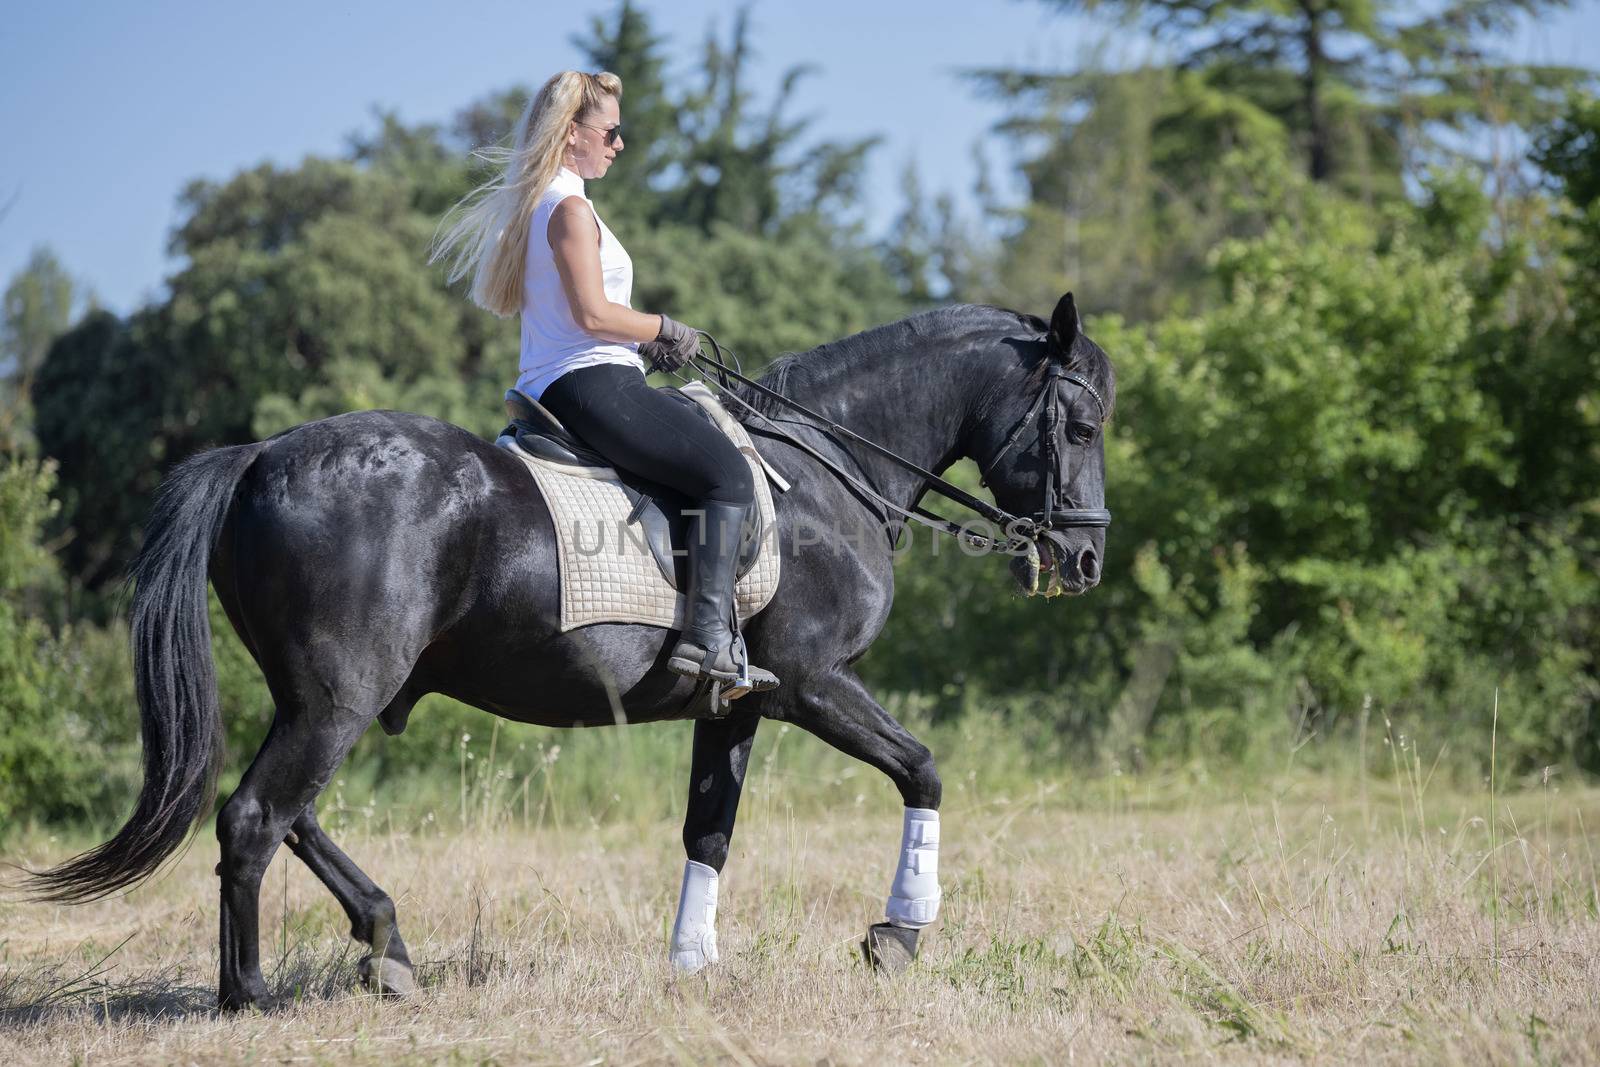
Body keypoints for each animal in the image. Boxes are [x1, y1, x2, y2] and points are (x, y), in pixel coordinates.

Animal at [25, 294, 1113, 1011]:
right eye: (1081, 421)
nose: (1086, 556)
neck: (824, 467)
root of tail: (257, 456)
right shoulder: (814, 682)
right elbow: (923, 767)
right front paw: (900, 931)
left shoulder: (741, 702)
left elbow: (708, 831)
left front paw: (691, 962)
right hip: (339, 695)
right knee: (257, 816)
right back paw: (248, 992)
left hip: (319, 696)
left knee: (286, 811)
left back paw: (387, 943)